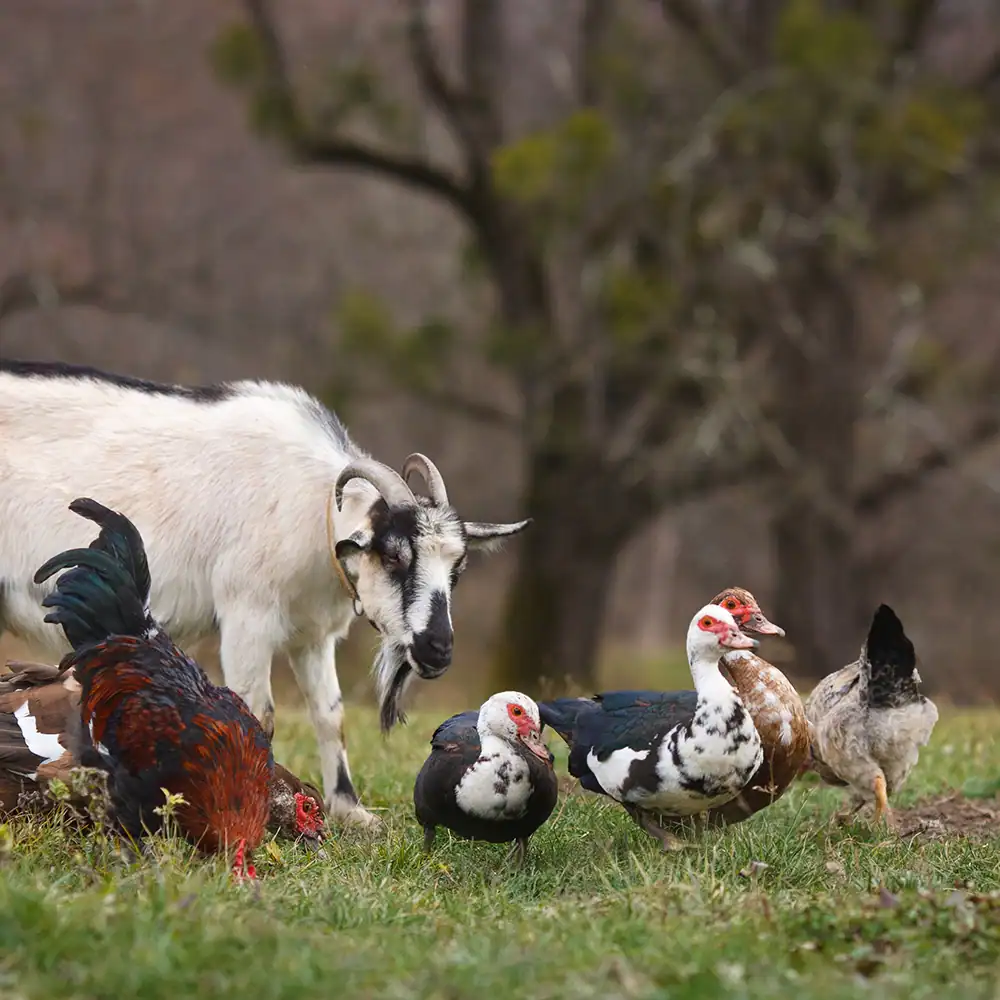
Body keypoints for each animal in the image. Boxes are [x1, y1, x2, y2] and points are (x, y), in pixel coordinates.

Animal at [0, 360, 530, 826]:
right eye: (395, 556)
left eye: (457, 568)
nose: (437, 649)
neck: (314, 505)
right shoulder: (247, 615)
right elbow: (258, 712)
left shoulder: (313, 634)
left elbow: (330, 714)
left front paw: (352, 813)